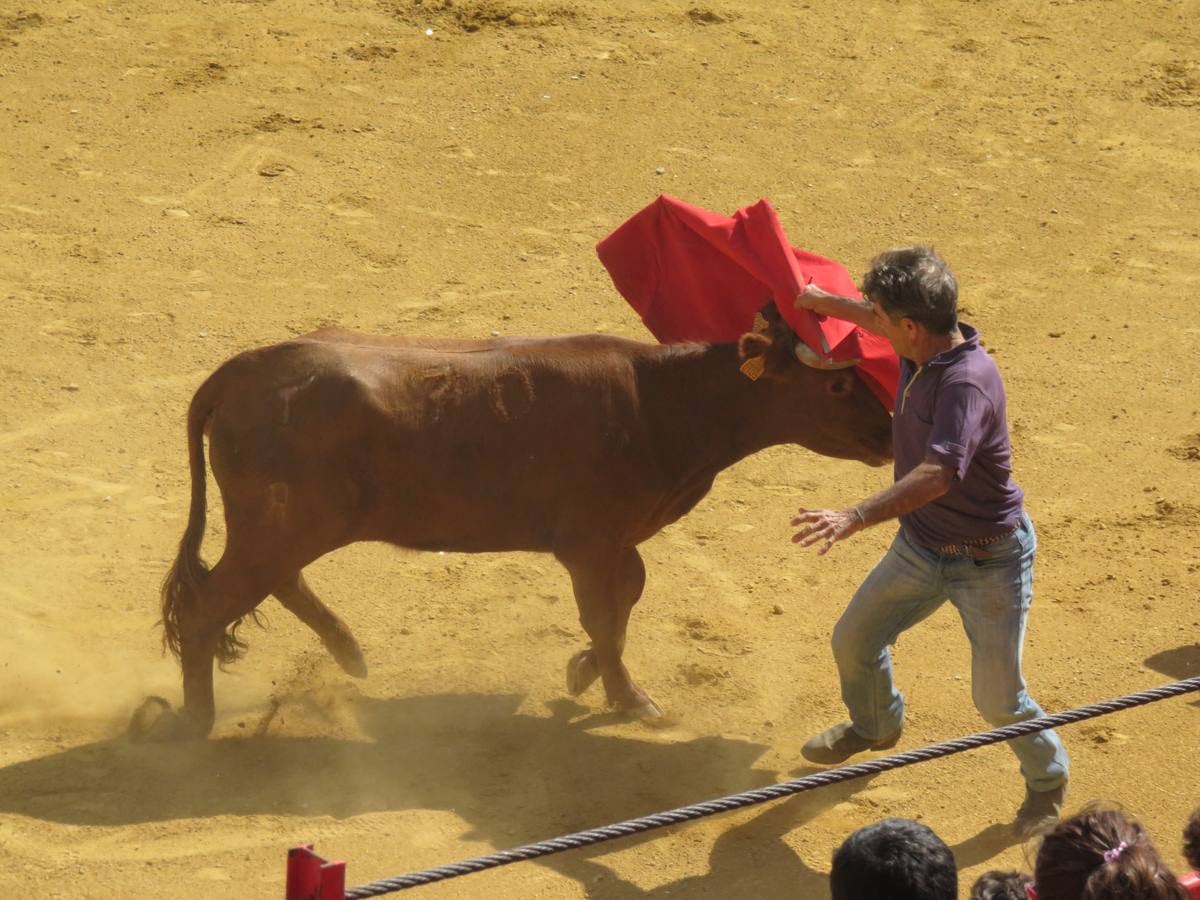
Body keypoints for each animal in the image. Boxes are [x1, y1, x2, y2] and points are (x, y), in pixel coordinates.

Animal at [138, 307, 892, 744]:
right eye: (836, 383)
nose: (889, 431)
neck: (660, 402)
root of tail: (242, 372)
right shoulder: (589, 544)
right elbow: (603, 614)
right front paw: (630, 699)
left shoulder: (615, 542)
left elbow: (624, 603)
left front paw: (585, 675)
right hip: (279, 526)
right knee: (210, 606)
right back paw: (193, 725)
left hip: (283, 527)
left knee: (272, 585)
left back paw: (349, 654)